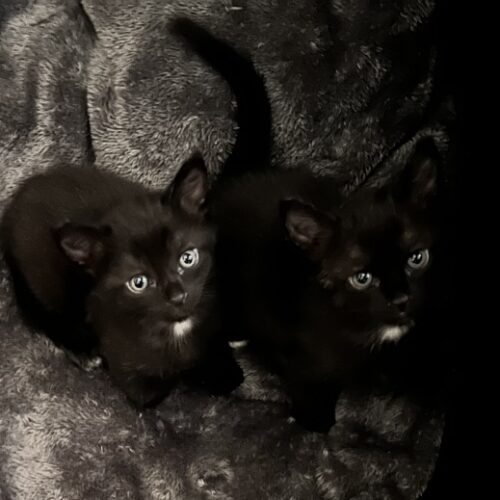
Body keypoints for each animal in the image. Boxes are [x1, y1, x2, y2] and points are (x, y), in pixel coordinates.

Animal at [1, 158, 243, 407]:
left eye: (188, 258)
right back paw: (83, 352)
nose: (177, 296)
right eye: (139, 282)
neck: (177, 326)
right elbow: (168, 382)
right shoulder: (130, 369)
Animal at [173, 18, 442, 432]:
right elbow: (312, 394)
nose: (400, 299)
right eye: (362, 277)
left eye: (417, 258)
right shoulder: (305, 361)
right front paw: (313, 424)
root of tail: (242, 174)